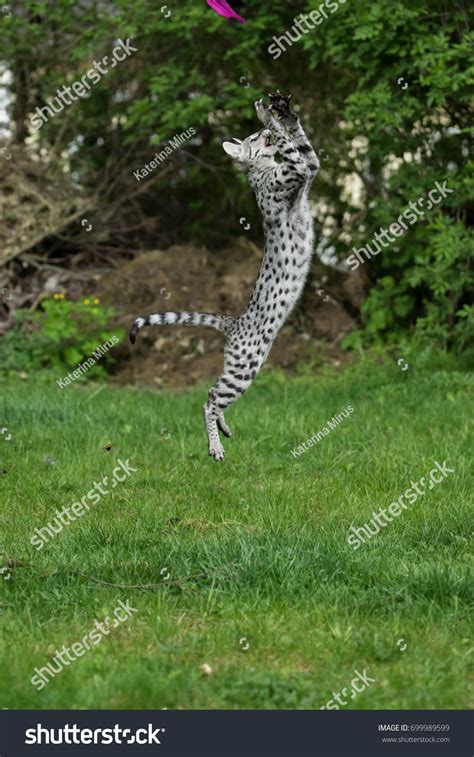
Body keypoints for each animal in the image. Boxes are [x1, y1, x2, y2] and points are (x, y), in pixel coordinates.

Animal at [131, 94, 318, 460]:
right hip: (244, 368)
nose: (262, 132)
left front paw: (285, 113)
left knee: (212, 396)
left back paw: (224, 429)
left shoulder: (309, 169)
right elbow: (292, 148)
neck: (263, 170)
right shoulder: (296, 171)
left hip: (247, 368)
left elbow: (303, 144)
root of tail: (234, 322)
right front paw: (270, 116)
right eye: (252, 137)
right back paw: (214, 446)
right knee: (208, 399)